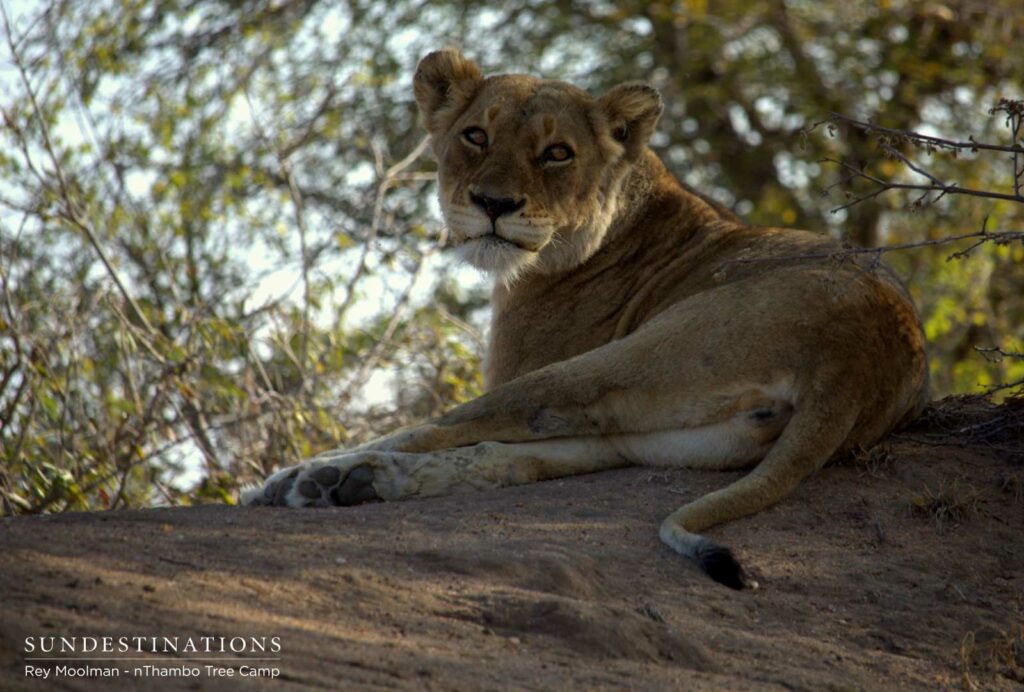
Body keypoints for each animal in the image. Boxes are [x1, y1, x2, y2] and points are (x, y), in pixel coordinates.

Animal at [243, 48, 929, 590]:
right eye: (475, 136)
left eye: (556, 153)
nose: (493, 204)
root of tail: (863, 354)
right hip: (682, 435)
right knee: (533, 454)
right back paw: (349, 484)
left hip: (629, 356)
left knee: (466, 425)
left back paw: (304, 478)